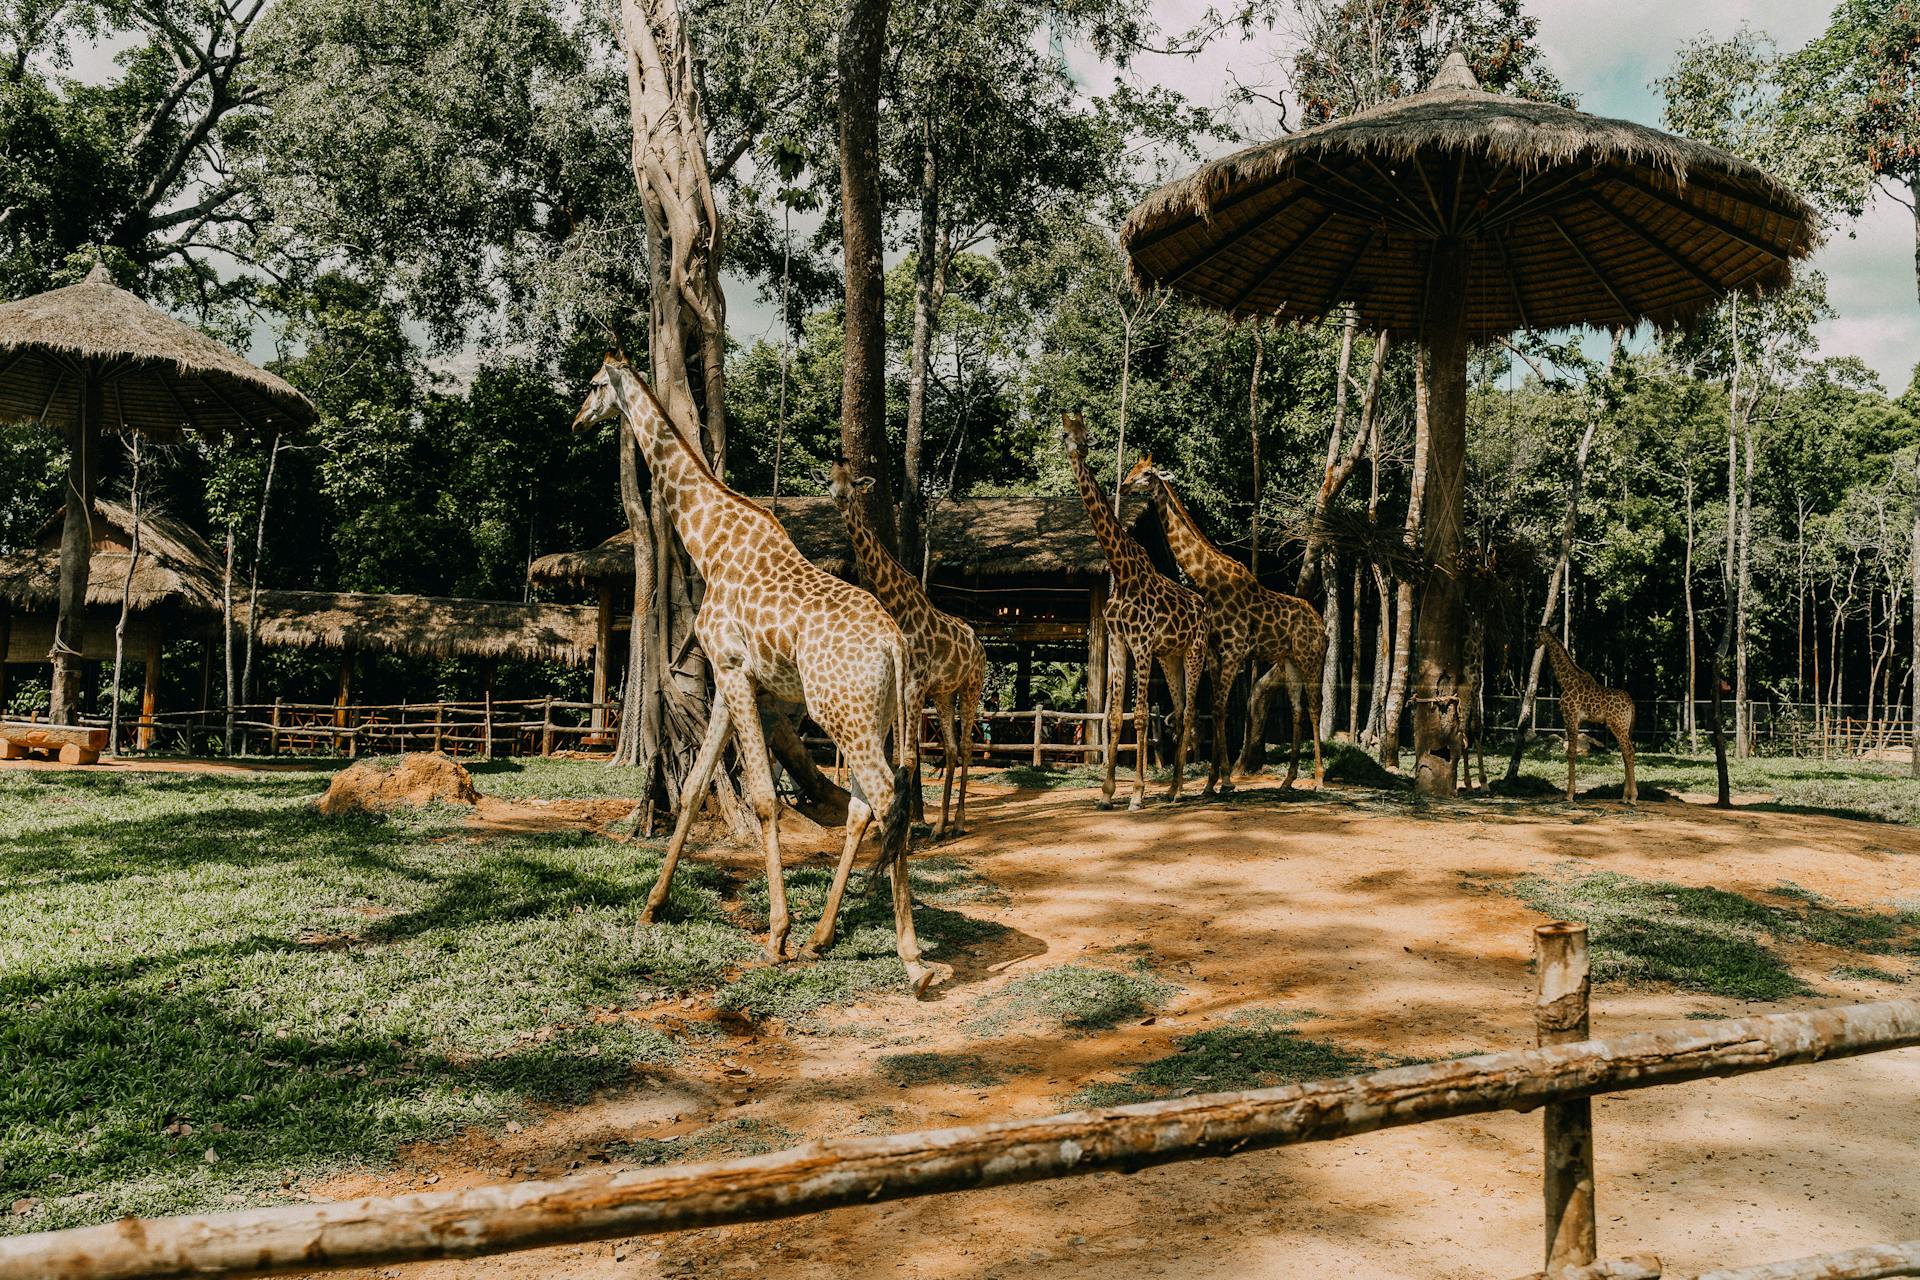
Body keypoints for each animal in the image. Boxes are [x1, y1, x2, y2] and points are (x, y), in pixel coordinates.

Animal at [564, 353, 940, 997]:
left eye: (593, 386)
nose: (577, 422)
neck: (708, 540)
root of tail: (895, 644)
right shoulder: (732, 680)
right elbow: (694, 788)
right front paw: (653, 906)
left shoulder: (735, 671)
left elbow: (763, 798)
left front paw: (776, 934)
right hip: (876, 717)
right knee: (865, 805)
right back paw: (823, 938)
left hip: (843, 714)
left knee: (888, 797)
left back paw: (911, 960)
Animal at [825, 460, 983, 840]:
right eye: (829, 481)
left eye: (853, 483)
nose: (841, 498)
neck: (896, 605)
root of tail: (981, 644)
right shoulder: (907, 685)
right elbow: (899, 755)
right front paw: (904, 830)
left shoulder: (913, 684)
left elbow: (909, 757)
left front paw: (904, 838)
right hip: (944, 693)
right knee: (951, 749)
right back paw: (940, 826)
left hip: (972, 686)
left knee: (967, 746)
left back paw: (959, 821)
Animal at [1059, 412, 1205, 809]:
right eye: (1064, 433)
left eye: (1085, 435)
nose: (1076, 451)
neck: (1121, 570)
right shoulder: (1119, 642)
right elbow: (1112, 719)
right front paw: (1107, 794)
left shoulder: (1142, 643)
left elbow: (1138, 716)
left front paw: (1137, 794)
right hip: (1170, 656)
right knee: (1180, 710)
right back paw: (1172, 788)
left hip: (1195, 652)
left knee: (1189, 712)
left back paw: (1176, 790)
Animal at [1121, 460, 1328, 790]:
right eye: (1132, 469)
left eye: (1147, 474)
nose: (1124, 486)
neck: (1209, 582)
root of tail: (1322, 627)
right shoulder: (1214, 653)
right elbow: (1218, 711)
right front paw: (1211, 783)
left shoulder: (1234, 651)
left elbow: (1220, 709)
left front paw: (1225, 781)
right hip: (1290, 661)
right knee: (1297, 710)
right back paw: (1288, 780)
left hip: (1312, 657)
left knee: (1315, 706)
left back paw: (1319, 779)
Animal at [1536, 629, 1643, 805]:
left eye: (1536, 634)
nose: (1535, 645)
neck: (1565, 681)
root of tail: (1631, 703)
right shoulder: (1576, 720)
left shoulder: (1570, 717)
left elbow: (1571, 752)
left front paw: (1569, 795)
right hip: (1624, 726)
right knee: (1626, 752)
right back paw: (1624, 797)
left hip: (1617, 725)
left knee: (1628, 751)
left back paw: (1633, 797)